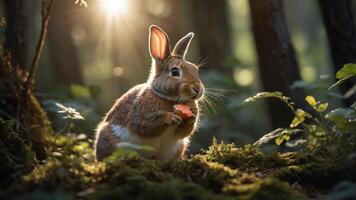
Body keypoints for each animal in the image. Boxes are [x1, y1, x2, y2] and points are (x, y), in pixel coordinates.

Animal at [94, 25, 204, 161]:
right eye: (174, 72)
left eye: (195, 69)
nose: (198, 89)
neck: (170, 98)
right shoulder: (141, 115)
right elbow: (147, 126)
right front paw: (171, 117)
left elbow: (184, 132)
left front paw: (192, 116)